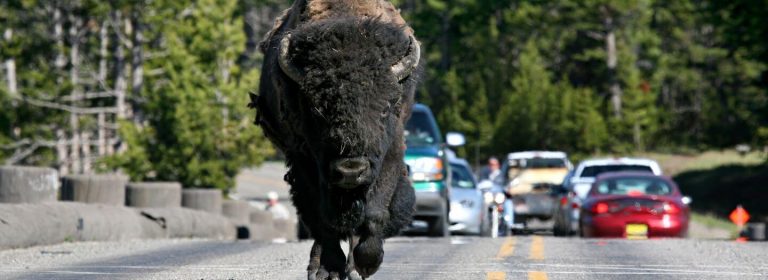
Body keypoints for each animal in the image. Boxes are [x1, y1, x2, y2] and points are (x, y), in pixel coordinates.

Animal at [250, 1, 420, 278]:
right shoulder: (303, 159)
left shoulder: (390, 152)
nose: (351, 170)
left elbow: (374, 212)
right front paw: (329, 268)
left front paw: (367, 263)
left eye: (385, 108)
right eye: (316, 110)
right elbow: (322, 218)